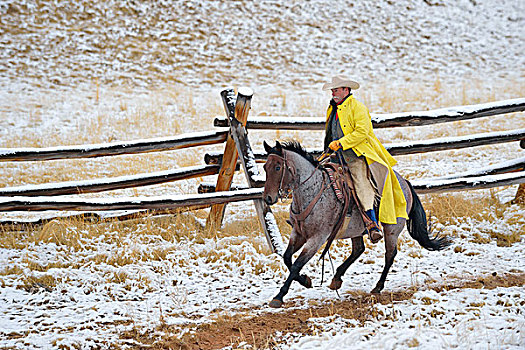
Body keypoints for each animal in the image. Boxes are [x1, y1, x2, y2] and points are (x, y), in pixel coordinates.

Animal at [262, 141, 450, 308]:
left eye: (278, 167)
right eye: (265, 167)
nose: (268, 198)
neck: (314, 192)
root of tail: (405, 182)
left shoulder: (317, 238)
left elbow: (296, 265)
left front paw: (279, 296)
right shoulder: (298, 234)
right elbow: (287, 258)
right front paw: (305, 281)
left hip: (391, 229)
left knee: (390, 255)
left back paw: (377, 286)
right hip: (356, 230)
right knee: (359, 249)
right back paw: (337, 279)